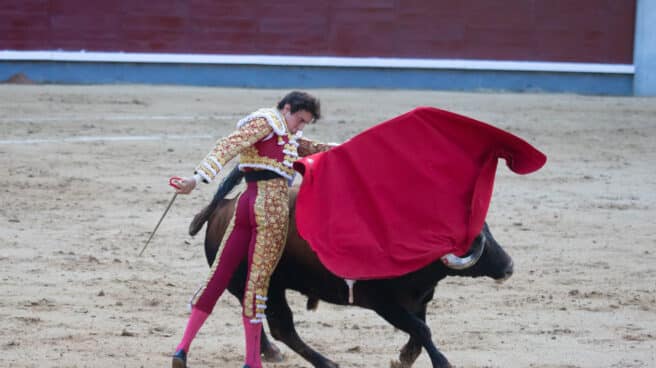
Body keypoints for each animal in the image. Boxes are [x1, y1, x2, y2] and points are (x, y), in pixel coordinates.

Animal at [191, 170, 516, 368]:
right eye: (477, 242)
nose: (509, 266)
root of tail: (224, 207)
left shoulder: (419, 299)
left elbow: (420, 331)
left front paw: (404, 357)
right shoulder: (382, 303)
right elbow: (421, 329)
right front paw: (441, 362)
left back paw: (271, 352)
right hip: (266, 284)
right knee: (282, 327)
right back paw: (323, 362)